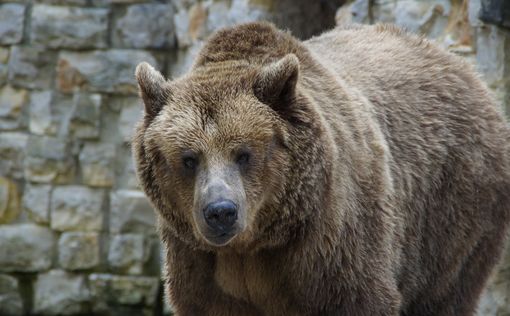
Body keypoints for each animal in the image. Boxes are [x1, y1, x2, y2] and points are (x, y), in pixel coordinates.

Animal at [130, 22, 510, 316]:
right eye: (188, 158)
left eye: (244, 154)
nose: (220, 212)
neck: (256, 243)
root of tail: (465, 70)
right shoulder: (200, 265)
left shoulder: (331, 248)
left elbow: (360, 296)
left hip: (453, 211)